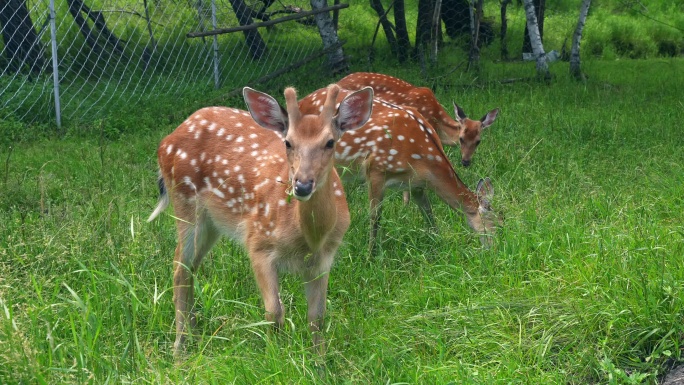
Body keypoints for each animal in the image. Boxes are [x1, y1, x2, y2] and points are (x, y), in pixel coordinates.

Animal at [147, 85, 376, 356]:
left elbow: (317, 317)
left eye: (330, 142)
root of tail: (165, 142)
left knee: (190, 267)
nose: (302, 185)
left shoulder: (324, 258)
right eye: (288, 142)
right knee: (178, 268)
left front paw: (320, 361)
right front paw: (274, 356)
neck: (308, 238)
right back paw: (180, 348)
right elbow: (274, 312)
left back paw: (195, 333)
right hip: (185, 204)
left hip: (212, 223)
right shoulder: (258, 243)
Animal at [296, 87, 500, 255]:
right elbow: (375, 216)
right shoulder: (376, 169)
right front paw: (371, 255)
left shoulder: (416, 184)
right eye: (495, 224)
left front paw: (437, 242)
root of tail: (303, 100)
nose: (497, 249)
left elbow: (428, 213)